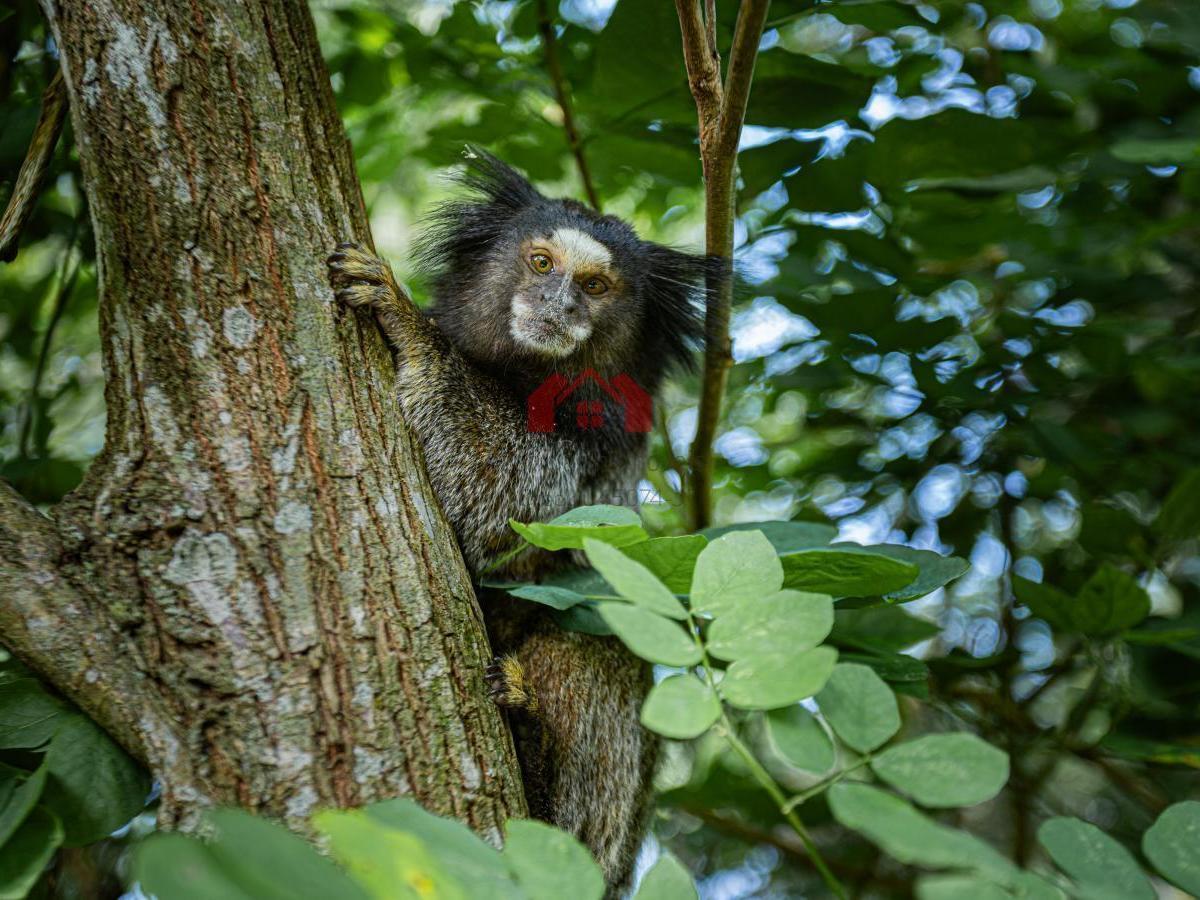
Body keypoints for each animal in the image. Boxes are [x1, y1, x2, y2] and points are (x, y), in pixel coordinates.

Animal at [328, 151, 710, 897]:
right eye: (540, 263)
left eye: (594, 285)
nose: (558, 306)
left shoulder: (595, 445)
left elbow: (492, 497)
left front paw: (411, 327)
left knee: (594, 646)